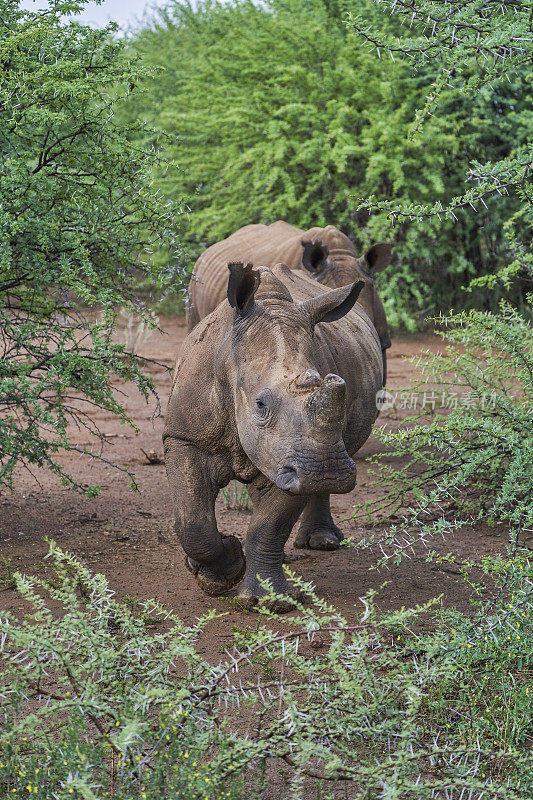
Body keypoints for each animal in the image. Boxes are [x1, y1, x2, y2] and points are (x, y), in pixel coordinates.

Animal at [163, 260, 382, 608]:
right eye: (260, 404)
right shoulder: (185, 437)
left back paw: (320, 542)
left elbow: (269, 526)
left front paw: (269, 601)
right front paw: (222, 570)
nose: (329, 472)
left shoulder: (292, 460)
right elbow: (193, 521)